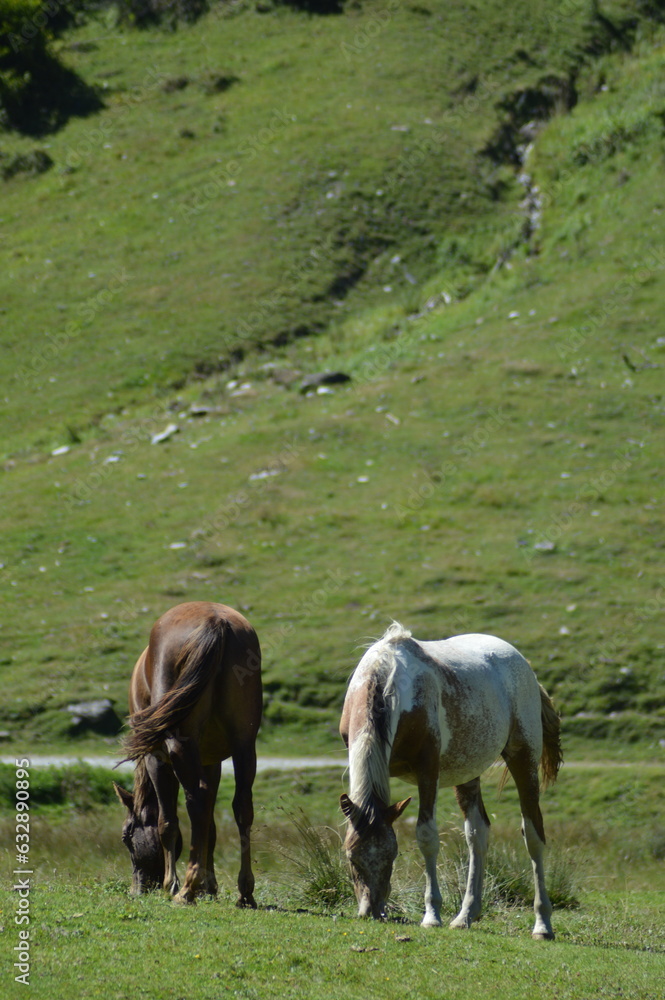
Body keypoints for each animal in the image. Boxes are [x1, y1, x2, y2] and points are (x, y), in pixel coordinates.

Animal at [113, 602, 262, 906]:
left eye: (126, 836)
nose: (138, 889)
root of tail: (215, 621)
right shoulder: (211, 762)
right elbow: (210, 827)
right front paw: (209, 885)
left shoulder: (156, 757)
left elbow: (167, 822)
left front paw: (172, 883)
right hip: (244, 743)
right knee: (241, 805)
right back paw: (245, 892)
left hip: (179, 745)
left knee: (196, 799)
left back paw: (185, 890)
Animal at [339, 623, 562, 939]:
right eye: (351, 857)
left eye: (392, 855)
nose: (372, 911)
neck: (388, 680)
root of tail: (523, 663)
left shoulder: (427, 770)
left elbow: (427, 836)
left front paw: (432, 915)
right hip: (468, 771)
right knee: (477, 833)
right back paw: (466, 915)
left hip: (524, 759)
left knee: (533, 835)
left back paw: (542, 924)